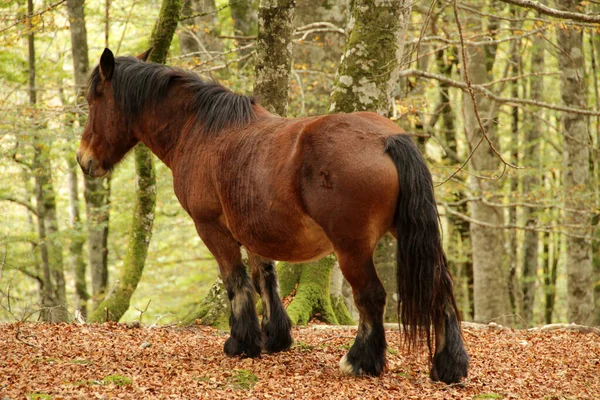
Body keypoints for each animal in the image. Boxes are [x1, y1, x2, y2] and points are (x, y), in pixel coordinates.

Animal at [76, 49, 468, 384]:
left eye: (95, 98)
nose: (84, 160)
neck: (201, 130)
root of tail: (387, 139)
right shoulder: (252, 229)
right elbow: (264, 276)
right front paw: (275, 337)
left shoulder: (211, 228)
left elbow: (236, 281)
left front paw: (241, 342)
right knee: (441, 287)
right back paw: (449, 365)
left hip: (352, 248)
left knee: (371, 296)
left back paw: (360, 360)